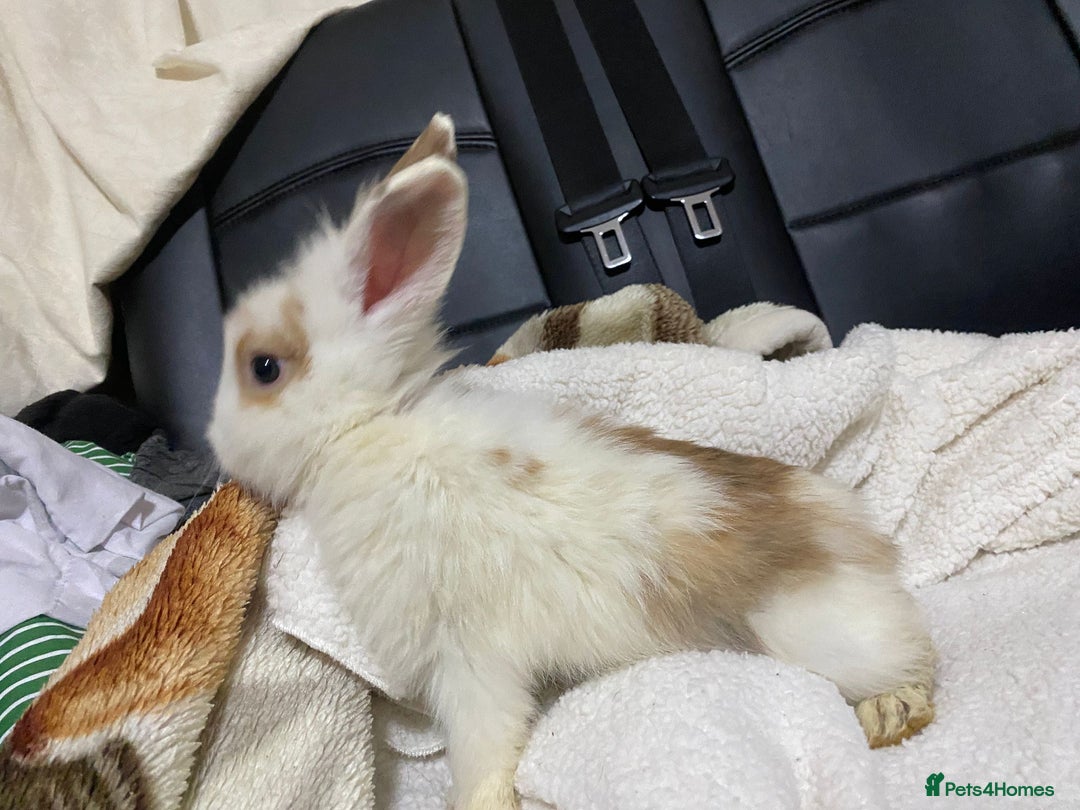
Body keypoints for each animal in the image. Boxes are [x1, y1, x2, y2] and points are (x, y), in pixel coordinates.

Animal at [208, 113, 935, 810]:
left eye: (263, 368)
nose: (215, 441)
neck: (368, 429)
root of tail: (855, 535)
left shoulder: (469, 658)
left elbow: (485, 747)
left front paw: (482, 803)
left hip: (823, 634)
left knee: (916, 654)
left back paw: (892, 714)